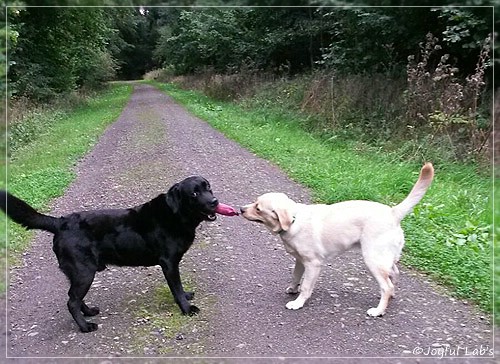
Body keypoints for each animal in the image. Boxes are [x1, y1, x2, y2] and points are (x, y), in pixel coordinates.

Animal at [0, 176, 219, 332]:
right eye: (194, 194)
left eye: (208, 187)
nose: (215, 202)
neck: (176, 214)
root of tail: (60, 222)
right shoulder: (169, 263)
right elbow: (176, 288)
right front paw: (187, 308)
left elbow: (179, 288)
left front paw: (187, 296)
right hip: (84, 272)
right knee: (71, 301)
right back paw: (85, 326)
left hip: (78, 273)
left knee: (73, 296)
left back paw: (89, 312)